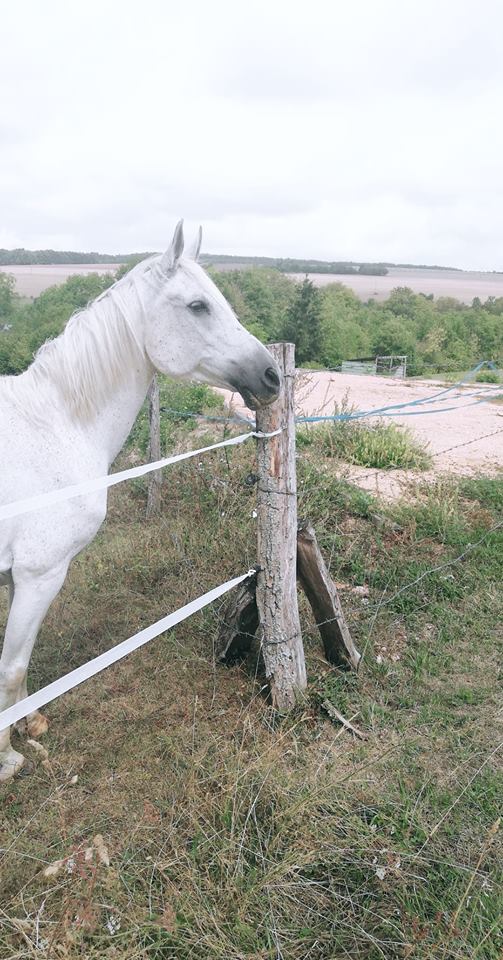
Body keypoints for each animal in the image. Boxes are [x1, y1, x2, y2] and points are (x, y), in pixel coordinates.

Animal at [0, 223, 282, 780]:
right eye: (198, 305)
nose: (270, 376)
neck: (55, 426)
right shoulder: (38, 573)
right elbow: (11, 667)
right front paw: (6, 758)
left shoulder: (18, 577)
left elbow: (14, 665)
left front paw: (29, 724)